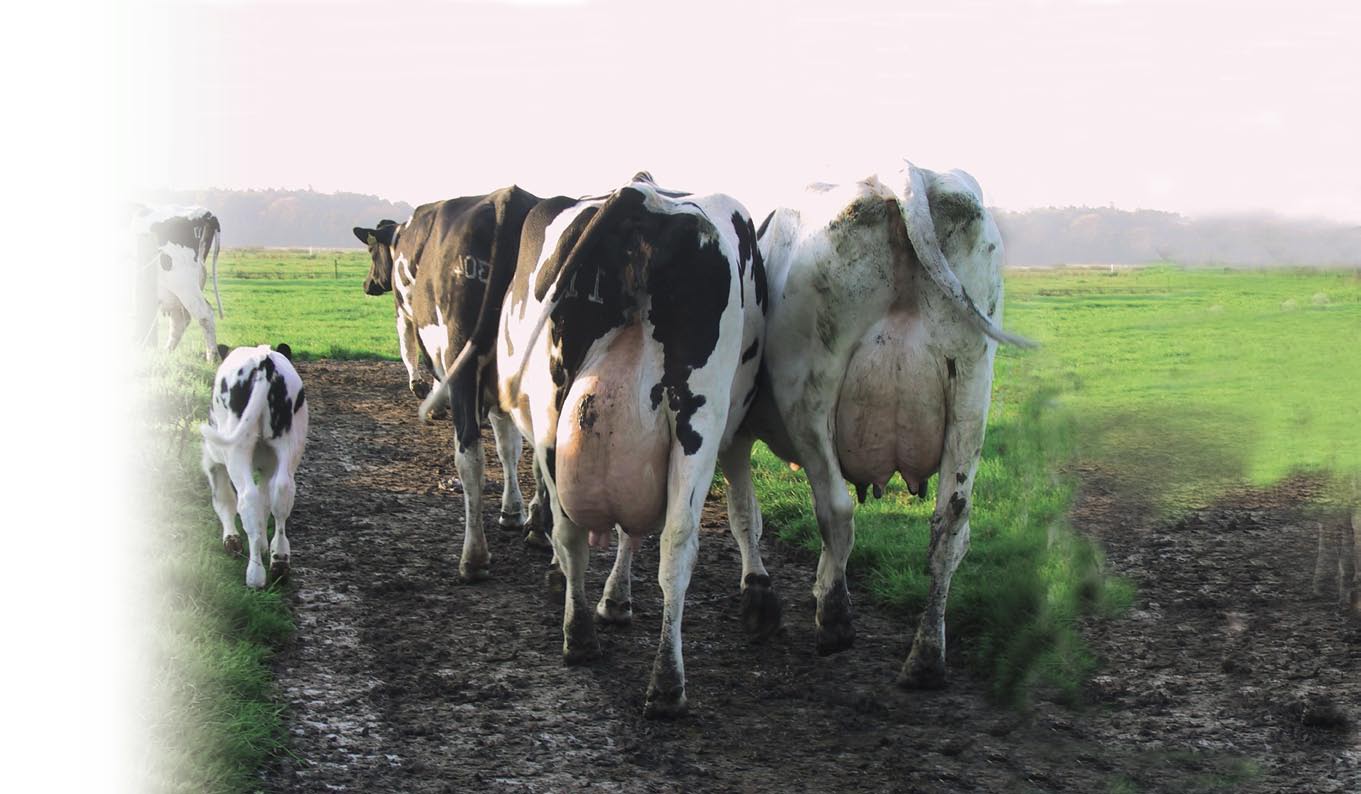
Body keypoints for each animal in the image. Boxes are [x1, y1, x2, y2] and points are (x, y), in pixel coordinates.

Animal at [132, 202, 223, 362]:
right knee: (180, 319)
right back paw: (165, 353)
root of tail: (203, 212)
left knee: (205, 315)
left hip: (184, 285)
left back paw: (212, 358)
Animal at [200, 343, 310, 591]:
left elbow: (224, 500)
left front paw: (232, 540)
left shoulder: (213, 460)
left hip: (236, 450)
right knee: (282, 494)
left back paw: (255, 576)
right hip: (289, 444)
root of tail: (263, 359)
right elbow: (265, 501)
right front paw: (261, 544)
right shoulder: (269, 465)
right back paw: (279, 562)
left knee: (247, 498)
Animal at [359, 189, 555, 580]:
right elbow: (508, 443)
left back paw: (474, 557)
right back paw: (539, 530)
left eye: (372, 252)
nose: (368, 284)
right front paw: (514, 511)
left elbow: (408, 348)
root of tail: (508, 199)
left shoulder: (406, 315)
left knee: (470, 453)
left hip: (461, 356)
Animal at [424, 175, 767, 719]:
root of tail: (641, 197)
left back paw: (575, 630)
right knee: (677, 540)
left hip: (548, 404)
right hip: (696, 417)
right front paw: (616, 599)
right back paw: (665, 682)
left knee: (557, 520)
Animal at [734, 163, 1028, 689]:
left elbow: (745, 511)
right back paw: (925, 658)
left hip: (810, 389)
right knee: (950, 524)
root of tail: (904, 177)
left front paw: (759, 599)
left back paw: (834, 620)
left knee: (835, 509)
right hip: (972, 386)